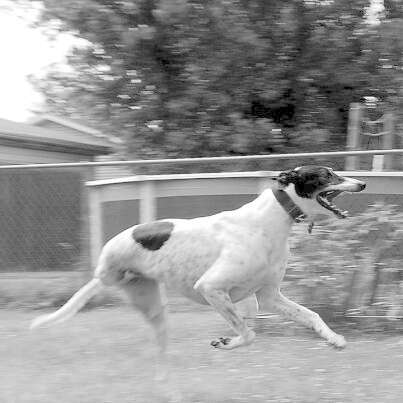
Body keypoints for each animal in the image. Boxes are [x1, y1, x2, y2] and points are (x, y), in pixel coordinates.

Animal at [31, 165, 366, 356]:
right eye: (327, 175)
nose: (362, 184)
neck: (270, 219)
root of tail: (103, 267)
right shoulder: (211, 288)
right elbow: (248, 333)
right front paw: (226, 342)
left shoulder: (270, 296)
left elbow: (311, 316)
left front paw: (335, 339)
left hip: (152, 303)